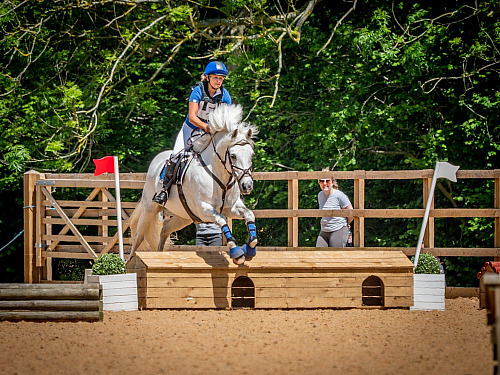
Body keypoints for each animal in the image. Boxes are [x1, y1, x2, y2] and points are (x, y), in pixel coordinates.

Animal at [130, 104, 258, 266]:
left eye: (251, 155)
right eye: (233, 156)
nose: (247, 186)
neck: (219, 176)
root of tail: (157, 160)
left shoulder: (232, 207)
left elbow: (249, 214)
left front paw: (250, 249)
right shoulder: (204, 209)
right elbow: (222, 219)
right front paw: (237, 253)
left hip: (184, 216)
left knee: (165, 229)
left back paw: (159, 254)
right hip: (150, 208)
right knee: (138, 236)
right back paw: (127, 264)